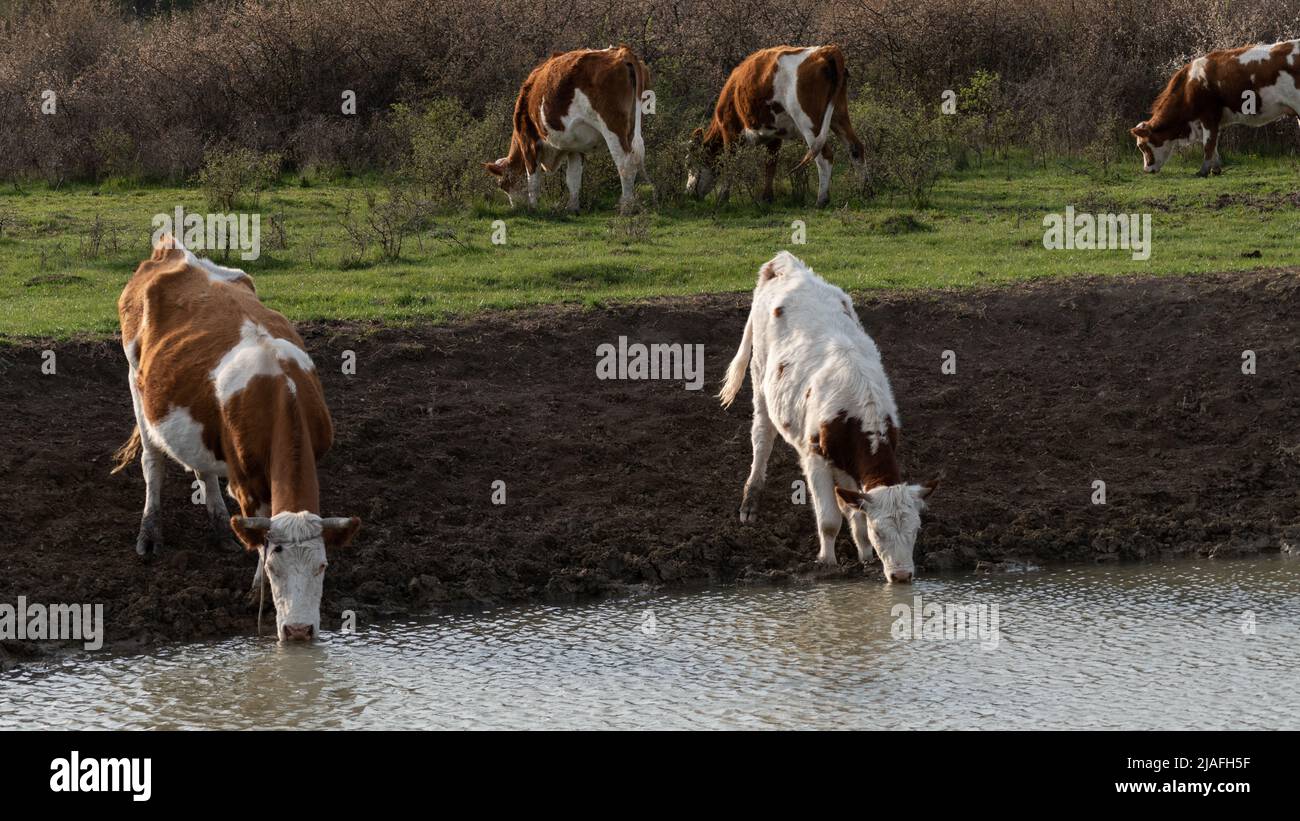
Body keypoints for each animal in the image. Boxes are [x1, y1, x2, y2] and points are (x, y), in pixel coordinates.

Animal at [114, 233, 361, 639]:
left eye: (322, 566)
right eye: (276, 568)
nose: (298, 632)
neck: (282, 390)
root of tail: (175, 250)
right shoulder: (246, 483)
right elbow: (259, 537)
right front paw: (257, 591)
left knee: (203, 469)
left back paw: (218, 528)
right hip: (136, 381)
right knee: (153, 462)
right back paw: (149, 534)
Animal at [483, 45, 650, 213]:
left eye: (504, 185)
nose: (516, 208)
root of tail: (622, 51)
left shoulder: (528, 141)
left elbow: (533, 180)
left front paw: (533, 207)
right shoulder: (576, 147)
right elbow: (573, 178)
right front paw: (572, 207)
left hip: (613, 125)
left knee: (625, 164)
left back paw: (626, 207)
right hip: (632, 126)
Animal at [691, 44, 863, 206]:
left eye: (690, 162)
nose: (690, 193)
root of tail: (826, 50)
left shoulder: (730, 131)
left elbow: (730, 164)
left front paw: (722, 199)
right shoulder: (774, 135)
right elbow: (770, 165)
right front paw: (767, 198)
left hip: (809, 122)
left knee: (824, 156)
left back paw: (822, 200)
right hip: (838, 114)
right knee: (855, 147)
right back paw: (863, 190)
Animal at [717, 253, 941, 579]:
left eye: (915, 531)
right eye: (880, 532)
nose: (901, 576)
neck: (858, 414)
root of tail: (785, 263)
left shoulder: (850, 468)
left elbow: (854, 513)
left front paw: (865, 557)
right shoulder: (815, 458)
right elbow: (829, 520)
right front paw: (827, 562)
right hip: (760, 378)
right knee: (762, 437)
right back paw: (750, 501)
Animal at [1128, 38, 1300, 176]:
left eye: (1142, 146)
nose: (1147, 170)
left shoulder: (1208, 116)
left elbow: (1208, 144)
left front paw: (1203, 171)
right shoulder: (1210, 121)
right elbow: (1214, 144)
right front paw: (1216, 169)